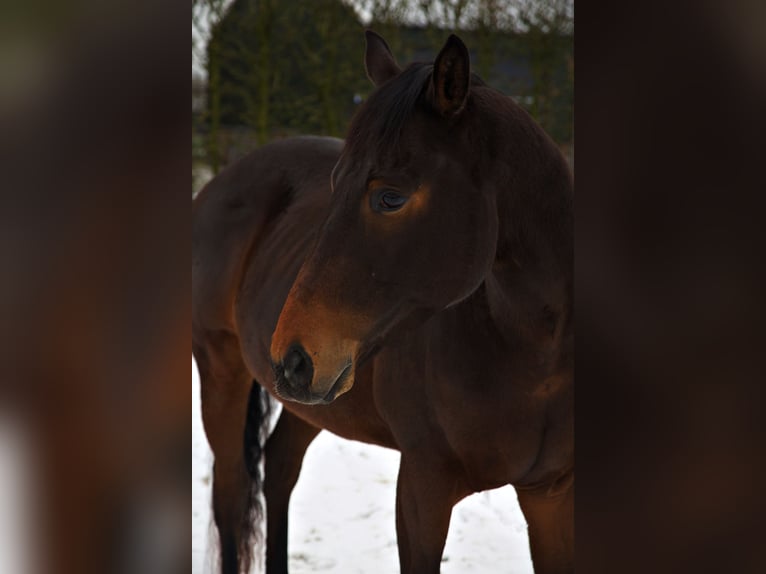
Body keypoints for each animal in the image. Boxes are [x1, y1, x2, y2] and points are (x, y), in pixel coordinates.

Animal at [194, 32, 568, 574]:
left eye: (390, 197)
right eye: (335, 185)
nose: (290, 356)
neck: (536, 359)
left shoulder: (550, 496)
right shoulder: (422, 489)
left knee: (279, 470)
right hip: (221, 368)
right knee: (231, 494)